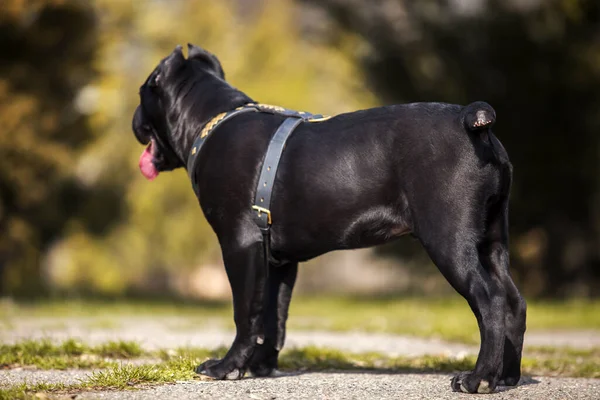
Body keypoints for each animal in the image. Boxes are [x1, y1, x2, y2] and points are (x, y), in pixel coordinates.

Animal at [131, 44, 524, 394]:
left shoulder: (239, 244)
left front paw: (228, 367)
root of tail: (472, 122)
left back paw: (477, 379)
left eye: (142, 92)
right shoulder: (277, 261)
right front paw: (260, 367)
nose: (134, 120)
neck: (212, 119)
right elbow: (272, 317)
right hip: (492, 242)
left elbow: (246, 312)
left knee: (490, 300)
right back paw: (506, 376)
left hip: (448, 240)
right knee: (513, 302)